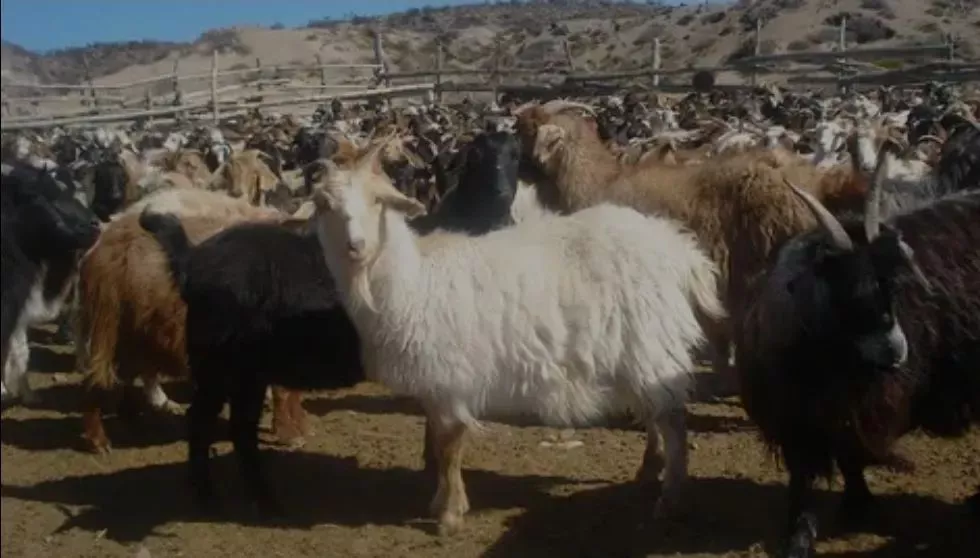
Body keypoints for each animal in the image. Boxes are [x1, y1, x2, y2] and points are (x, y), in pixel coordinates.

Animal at [309, 137, 725, 535]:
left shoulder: (450, 376)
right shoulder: (434, 382)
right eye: (324, 204)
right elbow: (440, 446)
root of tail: (678, 250)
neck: (411, 280)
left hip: (652, 342)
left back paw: (670, 498)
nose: (356, 246)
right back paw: (650, 471)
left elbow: (449, 445)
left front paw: (450, 515)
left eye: (377, 201)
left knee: (672, 420)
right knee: (655, 412)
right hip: (640, 350)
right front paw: (440, 502)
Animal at [736, 153, 980, 557]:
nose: (897, 351)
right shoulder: (798, 421)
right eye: (848, 292)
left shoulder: (857, 412)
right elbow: (804, 476)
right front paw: (799, 537)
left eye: (893, 287)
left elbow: (851, 456)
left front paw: (857, 506)